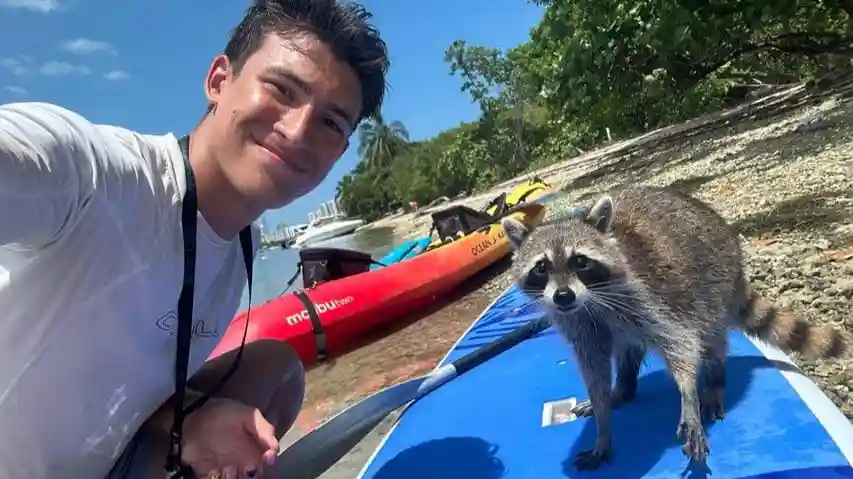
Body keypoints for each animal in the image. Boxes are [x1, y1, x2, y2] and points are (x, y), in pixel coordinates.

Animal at [500, 185, 846, 470]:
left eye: (580, 261)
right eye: (541, 268)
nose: (563, 296)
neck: (590, 301)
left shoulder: (646, 298)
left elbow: (681, 344)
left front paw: (688, 395)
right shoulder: (579, 323)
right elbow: (594, 370)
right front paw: (603, 422)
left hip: (714, 286)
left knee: (711, 340)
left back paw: (715, 380)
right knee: (628, 349)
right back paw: (623, 388)